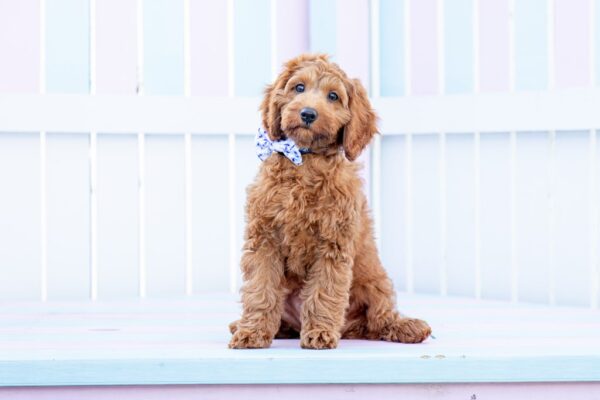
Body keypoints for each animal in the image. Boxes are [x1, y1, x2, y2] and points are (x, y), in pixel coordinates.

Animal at [230, 54, 432, 350]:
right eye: (299, 87)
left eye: (333, 96)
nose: (307, 114)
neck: (305, 160)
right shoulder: (264, 237)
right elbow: (260, 290)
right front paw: (251, 332)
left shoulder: (332, 243)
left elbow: (324, 292)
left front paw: (320, 333)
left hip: (376, 283)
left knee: (380, 318)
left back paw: (407, 327)